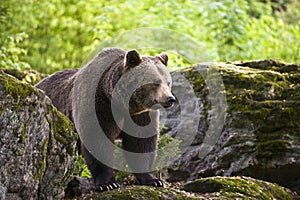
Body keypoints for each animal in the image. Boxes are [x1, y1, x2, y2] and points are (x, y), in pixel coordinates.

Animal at [35, 48, 176, 192]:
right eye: (156, 82)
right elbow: (97, 140)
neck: (121, 104)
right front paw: (107, 183)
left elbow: (141, 143)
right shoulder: (98, 106)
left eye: (168, 82)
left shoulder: (141, 116)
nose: (170, 99)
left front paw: (153, 180)